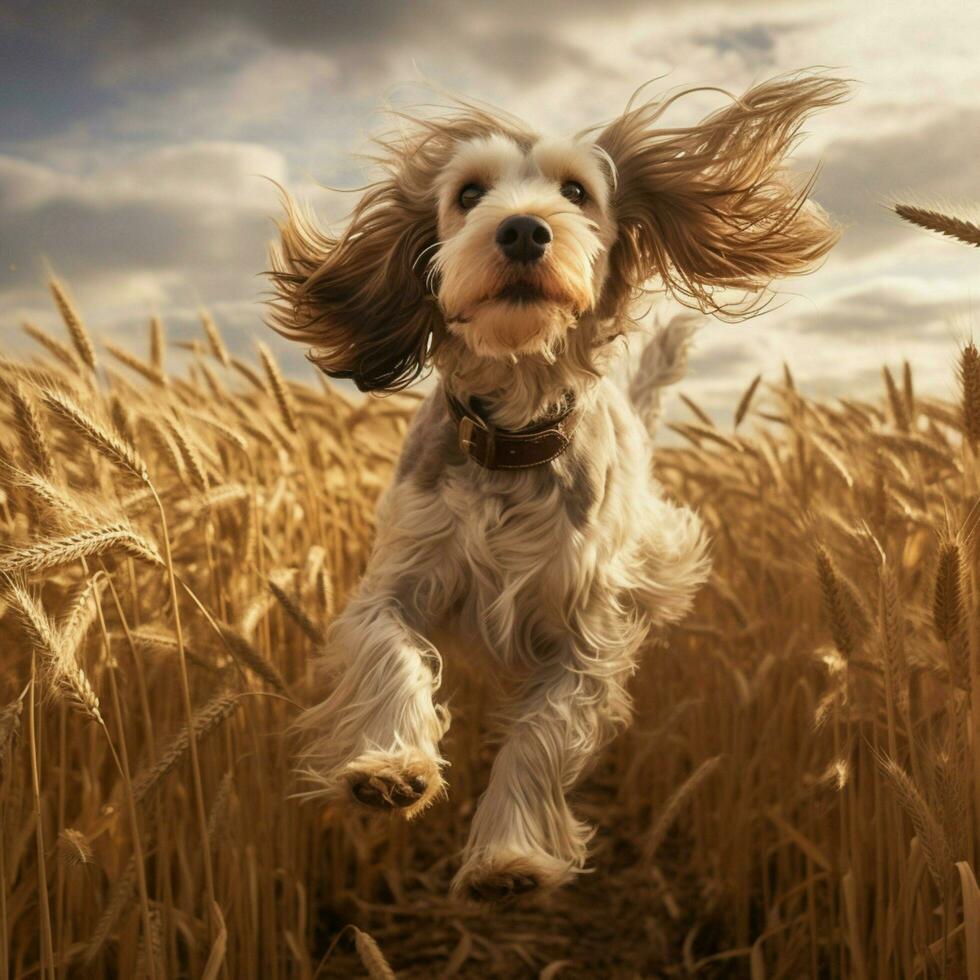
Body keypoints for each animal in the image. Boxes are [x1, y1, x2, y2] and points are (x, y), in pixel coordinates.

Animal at [264, 71, 848, 904]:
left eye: (576, 191)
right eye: (469, 194)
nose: (522, 231)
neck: (513, 428)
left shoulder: (585, 636)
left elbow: (540, 738)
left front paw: (509, 853)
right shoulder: (398, 581)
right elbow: (391, 656)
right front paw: (392, 765)